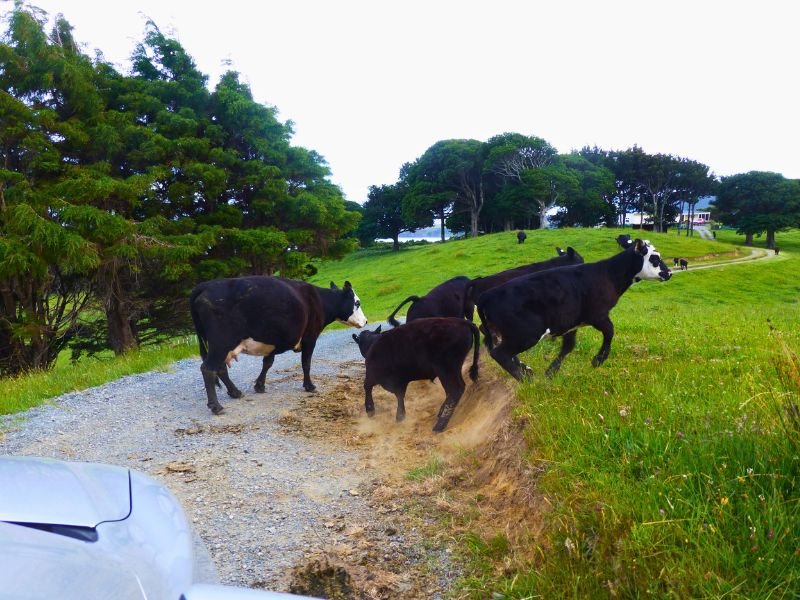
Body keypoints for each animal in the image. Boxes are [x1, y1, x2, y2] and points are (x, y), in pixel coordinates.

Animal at [190, 276, 367, 414]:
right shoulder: (310, 338)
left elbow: (268, 363)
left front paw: (260, 386)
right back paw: (216, 406)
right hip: (221, 343)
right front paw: (309, 386)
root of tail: (205, 285)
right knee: (208, 369)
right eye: (357, 303)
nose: (365, 321)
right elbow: (306, 363)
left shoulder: (273, 339)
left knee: (220, 368)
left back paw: (235, 392)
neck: (318, 300)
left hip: (220, 346)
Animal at [351, 318, 480, 432]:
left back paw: (439, 425)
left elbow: (367, 386)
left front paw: (370, 409)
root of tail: (462, 322)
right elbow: (400, 395)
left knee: (455, 390)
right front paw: (401, 415)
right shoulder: (399, 381)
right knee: (453, 390)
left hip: (446, 370)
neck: (372, 344)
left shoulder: (373, 375)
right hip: (452, 371)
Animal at [476, 239, 671, 381]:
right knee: (500, 353)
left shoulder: (571, 323)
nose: (669, 273)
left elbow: (568, 347)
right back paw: (526, 380)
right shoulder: (598, 315)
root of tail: (487, 295)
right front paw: (598, 360)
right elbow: (610, 331)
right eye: (655, 258)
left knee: (504, 352)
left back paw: (527, 371)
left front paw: (551, 372)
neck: (608, 274)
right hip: (526, 334)